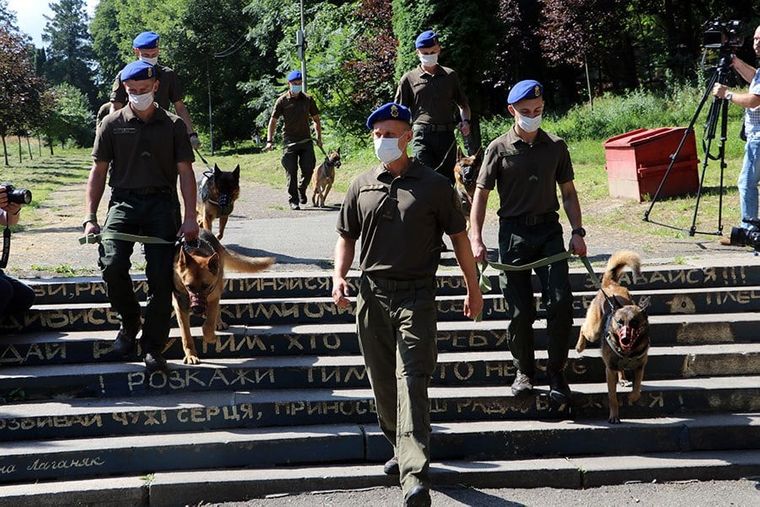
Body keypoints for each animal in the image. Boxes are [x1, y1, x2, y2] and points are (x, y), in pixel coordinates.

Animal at [171, 230, 274, 366]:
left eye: (206, 286)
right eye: (188, 286)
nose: (197, 310)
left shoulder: (213, 296)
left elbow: (209, 325)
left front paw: (211, 337)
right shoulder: (180, 306)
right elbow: (186, 335)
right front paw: (191, 355)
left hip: (218, 287)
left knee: (216, 309)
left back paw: (218, 322)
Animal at [580, 251, 652, 424]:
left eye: (634, 322)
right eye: (619, 322)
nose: (625, 339)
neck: (628, 352)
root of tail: (610, 285)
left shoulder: (640, 367)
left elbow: (637, 388)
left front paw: (632, 397)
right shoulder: (610, 370)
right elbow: (612, 397)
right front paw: (614, 416)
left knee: (623, 370)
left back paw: (623, 379)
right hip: (593, 330)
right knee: (583, 329)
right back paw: (579, 346)